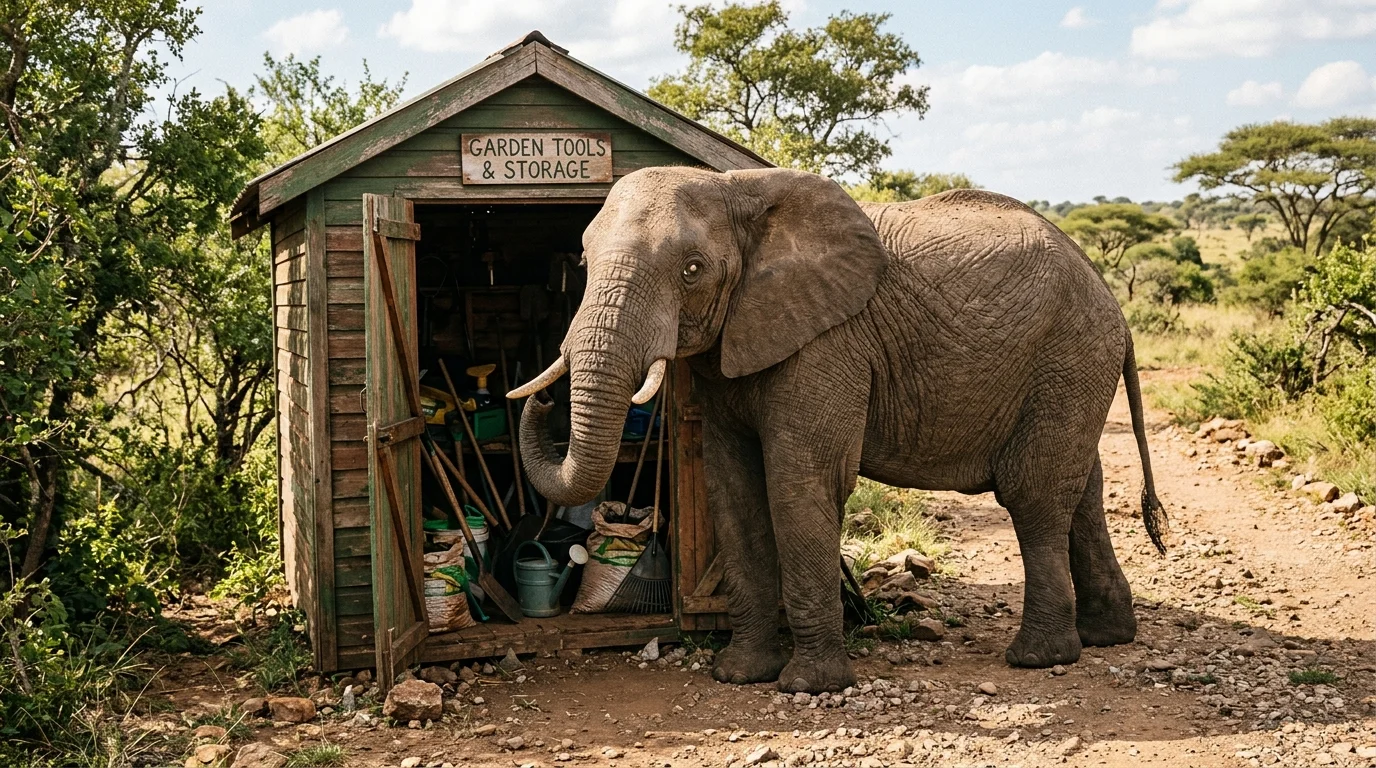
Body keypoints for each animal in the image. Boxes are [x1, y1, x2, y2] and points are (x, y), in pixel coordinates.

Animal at [510, 166, 1167, 694]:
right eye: (584, 265)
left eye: (692, 271)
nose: (539, 398)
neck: (737, 190)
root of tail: (1112, 299)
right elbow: (732, 486)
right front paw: (738, 675)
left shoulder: (829, 342)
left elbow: (799, 482)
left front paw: (808, 687)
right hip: (1073, 368)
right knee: (1081, 490)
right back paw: (1107, 636)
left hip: (1069, 355)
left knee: (1034, 495)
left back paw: (1038, 658)